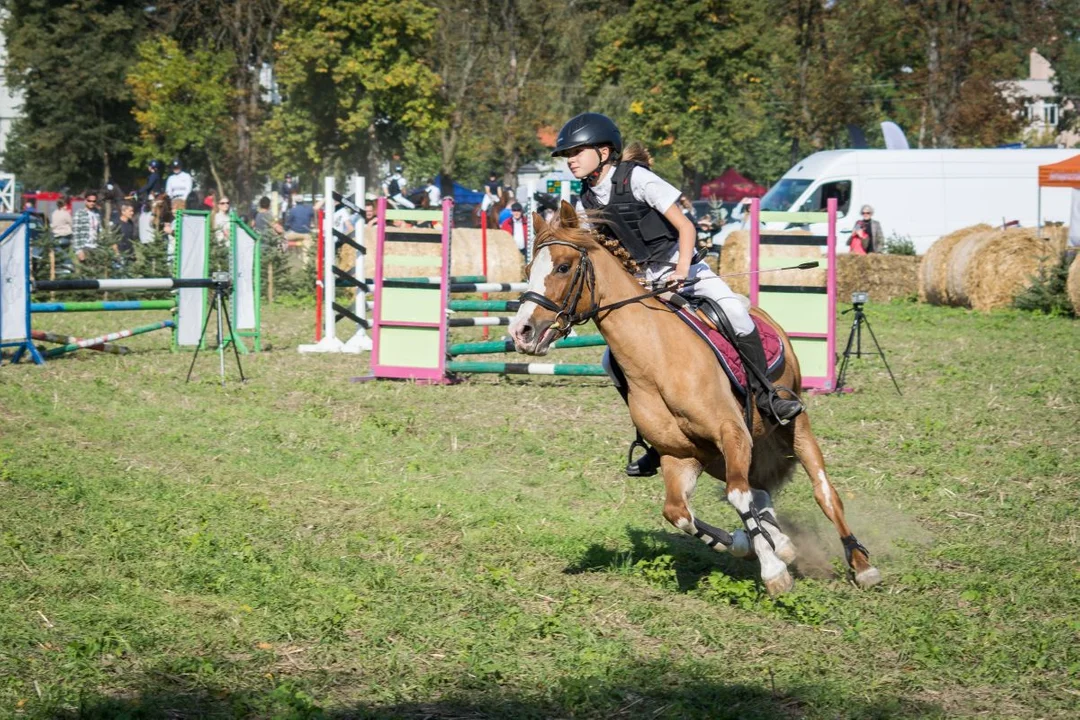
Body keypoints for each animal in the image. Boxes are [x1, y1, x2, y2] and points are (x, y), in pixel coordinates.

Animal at [509, 202, 881, 595]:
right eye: (528, 271)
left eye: (563, 267)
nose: (520, 332)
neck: (656, 360)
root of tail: (762, 314)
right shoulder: (680, 456)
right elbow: (680, 514)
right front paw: (747, 544)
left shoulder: (731, 433)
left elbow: (736, 497)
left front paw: (773, 572)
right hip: (720, 456)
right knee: (758, 492)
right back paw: (781, 542)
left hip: (792, 426)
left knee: (822, 490)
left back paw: (860, 564)